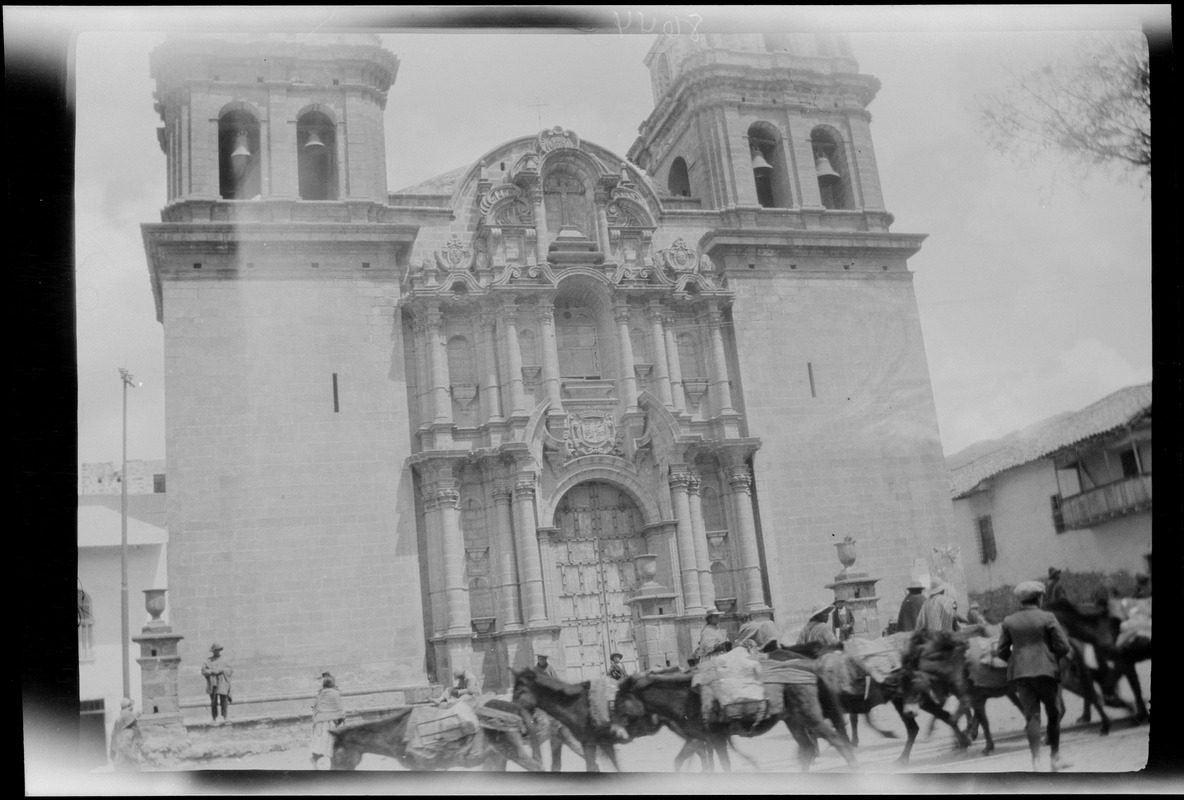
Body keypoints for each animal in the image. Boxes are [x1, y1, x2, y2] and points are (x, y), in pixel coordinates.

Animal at [610, 662, 861, 766]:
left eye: (620, 702)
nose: (615, 733)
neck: (686, 697)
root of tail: (807, 668)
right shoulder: (707, 741)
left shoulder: (715, 738)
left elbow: (723, 766)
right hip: (793, 720)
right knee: (807, 749)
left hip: (810, 716)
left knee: (836, 740)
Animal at [771, 634, 966, 766]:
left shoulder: (835, 709)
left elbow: (842, 730)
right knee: (939, 718)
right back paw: (958, 743)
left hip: (908, 700)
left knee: (923, 723)